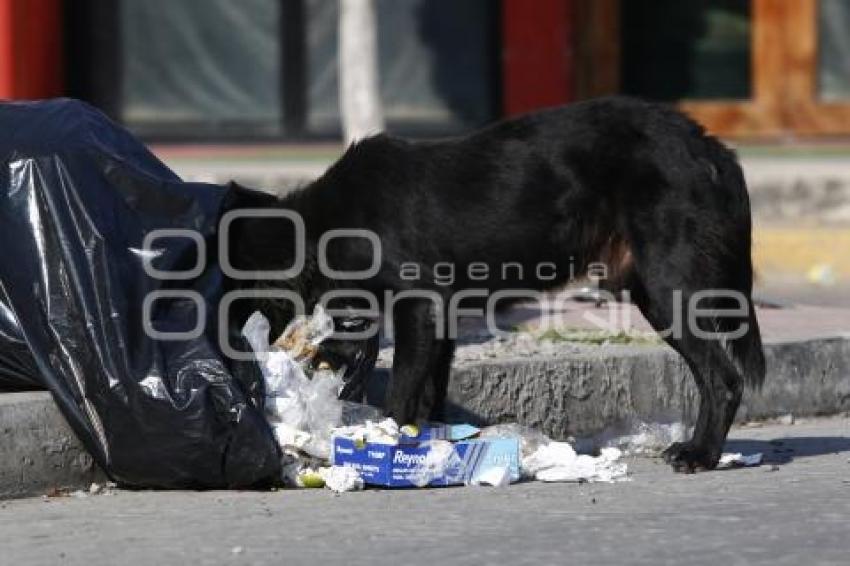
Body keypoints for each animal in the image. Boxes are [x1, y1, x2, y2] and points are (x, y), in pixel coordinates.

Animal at [224, 97, 760, 474]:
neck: (327, 223)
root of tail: (707, 144)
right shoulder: (439, 320)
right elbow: (428, 396)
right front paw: (432, 448)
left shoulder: (418, 309)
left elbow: (400, 395)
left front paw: (384, 445)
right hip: (649, 291)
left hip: (672, 287)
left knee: (724, 378)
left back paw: (700, 454)